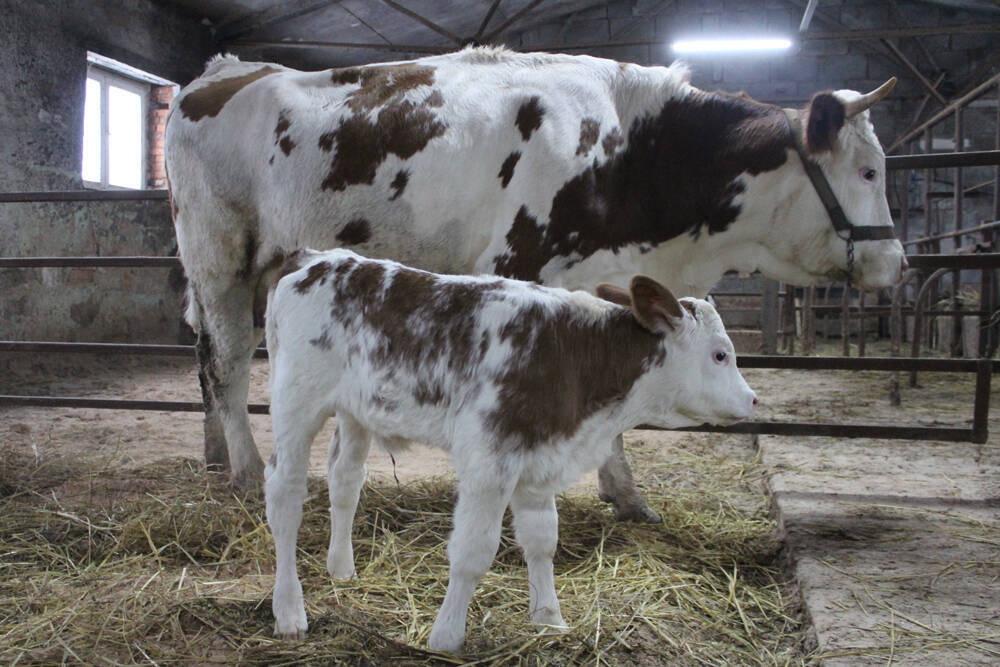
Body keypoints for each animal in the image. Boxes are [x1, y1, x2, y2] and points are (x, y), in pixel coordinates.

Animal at [165, 46, 904, 522]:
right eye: (870, 170)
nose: (897, 262)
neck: (631, 150)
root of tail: (222, 73)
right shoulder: (518, 268)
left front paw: (625, 495)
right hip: (219, 257)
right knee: (228, 363)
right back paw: (242, 470)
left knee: (207, 359)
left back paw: (213, 456)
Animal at [263, 248, 758, 652]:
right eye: (721, 355)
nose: (753, 400)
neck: (574, 355)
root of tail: (314, 257)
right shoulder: (490, 459)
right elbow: (472, 551)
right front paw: (446, 638)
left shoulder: (540, 462)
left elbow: (542, 541)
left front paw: (550, 619)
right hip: (295, 401)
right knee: (285, 496)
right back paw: (289, 612)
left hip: (356, 411)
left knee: (345, 481)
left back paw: (341, 569)